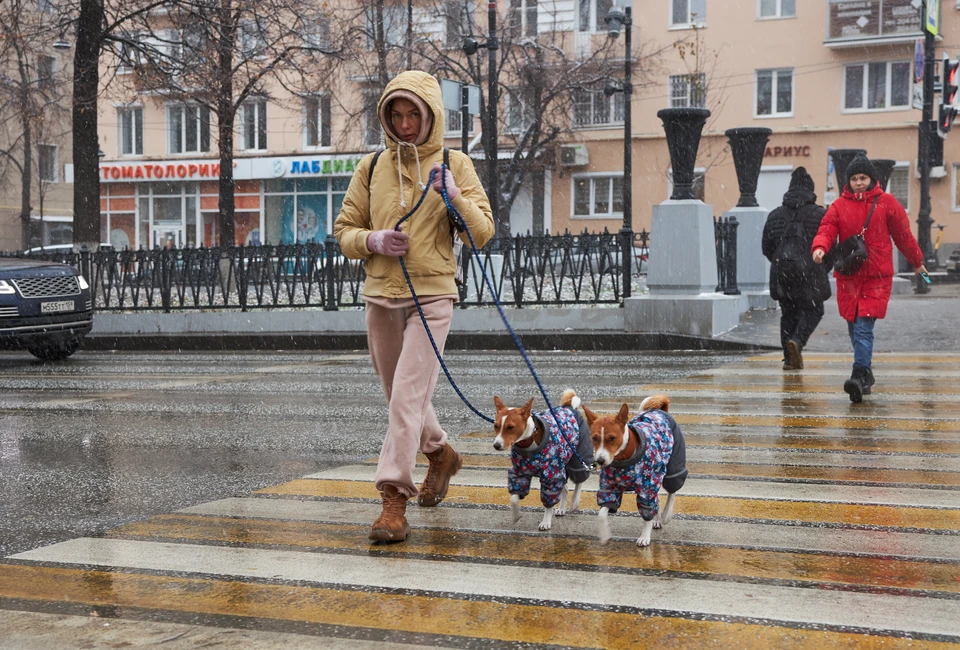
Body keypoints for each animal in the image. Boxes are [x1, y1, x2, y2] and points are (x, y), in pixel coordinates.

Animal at [496, 388, 592, 528]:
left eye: (510, 427)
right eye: (495, 426)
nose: (496, 445)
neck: (529, 444)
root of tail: (569, 407)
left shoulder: (551, 476)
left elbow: (548, 502)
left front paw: (546, 522)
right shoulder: (520, 473)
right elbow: (514, 497)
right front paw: (515, 515)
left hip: (576, 457)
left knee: (579, 481)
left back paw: (574, 501)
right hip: (562, 466)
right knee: (565, 488)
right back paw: (562, 508)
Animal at [580, 392, 688, 544]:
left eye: (611, 438)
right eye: (594, 438)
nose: (600, 460)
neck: (624, 460)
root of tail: (659, 410)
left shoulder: (646, 489)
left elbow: (647, 514)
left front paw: (645, 537)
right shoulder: (609, 487)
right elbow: (602, 513)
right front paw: (605, 534)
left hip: (673, 465)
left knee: (672, 491)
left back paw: (666, 515)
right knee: (658, 499)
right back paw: (657, 520)